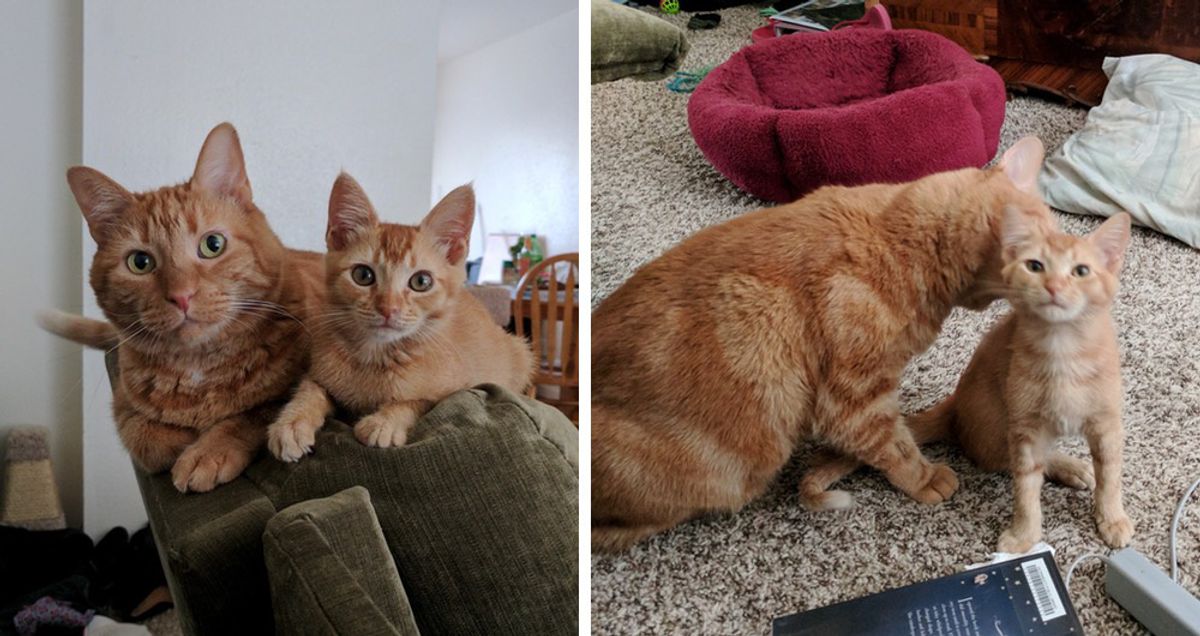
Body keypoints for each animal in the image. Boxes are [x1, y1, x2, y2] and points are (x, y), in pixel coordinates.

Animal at [41, 123, 324, 489]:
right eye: (140, 262)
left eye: (212, 244)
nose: (181, 295)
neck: (199, 368)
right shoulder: (122, 402)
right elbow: (144, 435)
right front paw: (181, 442)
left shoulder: (288, 388)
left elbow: (251, 414)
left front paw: (207, 451)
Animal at [270, 172, 537, 460]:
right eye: (362, 275)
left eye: (421, 281)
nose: (389, 308)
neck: (375, 355)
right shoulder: (320, 371)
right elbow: (311, 388)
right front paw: (292, 423)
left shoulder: (455, 388)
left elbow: (416, 401)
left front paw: (385, 422)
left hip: (521, 351)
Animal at [592, 138, 1060, 549]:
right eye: (1042, 260)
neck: (900, 237)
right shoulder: (854, 401)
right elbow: (894, 445)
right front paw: (925, 477)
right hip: (737, 471)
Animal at [801, 210, 1128, 547]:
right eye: (1035, 266)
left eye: (1081, 271)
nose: (1053, 286)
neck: (1063, 350)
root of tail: (955, 403)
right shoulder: (1025, 431)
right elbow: (1026, 490)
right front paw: (1024, 536)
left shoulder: (1108, 426)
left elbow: (1110, 478)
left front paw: (1112, 519)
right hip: (1000, 431)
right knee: (1021, 459)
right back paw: (1068, 466)